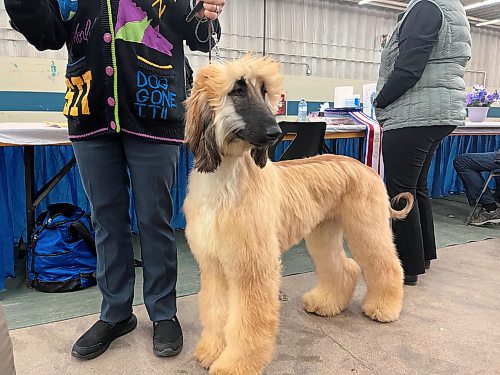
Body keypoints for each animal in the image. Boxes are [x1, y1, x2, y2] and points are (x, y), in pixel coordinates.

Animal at [186, 56, 412, 375]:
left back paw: (384, 307)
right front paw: (212, 350)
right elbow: (216, 310)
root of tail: (365, 167)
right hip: (324, 231)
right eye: (237, 90)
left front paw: (236, 363)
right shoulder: (213, 263)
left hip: (367, 226)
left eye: (264, 90)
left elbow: (249, 320)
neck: (226, 182)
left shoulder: (253, 265)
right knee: (344, 267)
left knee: (387, 265)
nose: (275, 133)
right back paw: (326, 303)